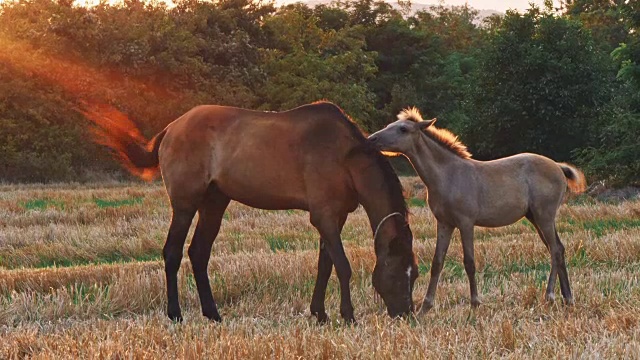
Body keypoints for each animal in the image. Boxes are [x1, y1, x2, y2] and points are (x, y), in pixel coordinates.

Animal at [91, 101, 420, 324]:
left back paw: (213, 314)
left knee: (199, 253)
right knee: (173, 252)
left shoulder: (334, 217)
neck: (345, 157)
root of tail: (171, 127)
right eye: (396, 271)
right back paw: (175, 315)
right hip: (185, 204)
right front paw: (348, 315)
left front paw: (320, 313)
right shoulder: (324, 216)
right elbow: (342, 266)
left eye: (415, 273)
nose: (405, 314)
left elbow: (324, 265)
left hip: (214, 202)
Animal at [370, 107, 584, 312]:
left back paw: (550, 296)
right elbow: (437, 262)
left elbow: (469, 262)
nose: (372, 139)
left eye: (403, 129)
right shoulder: (445, 223)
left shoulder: (466, 223)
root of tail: (558, 167)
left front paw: (474, 304)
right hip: (535, 217)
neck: (448, 175)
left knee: (555, 250)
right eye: (390, 124)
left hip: (544, 215)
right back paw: (568, 298)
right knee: (559, 249)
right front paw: (425, 307)